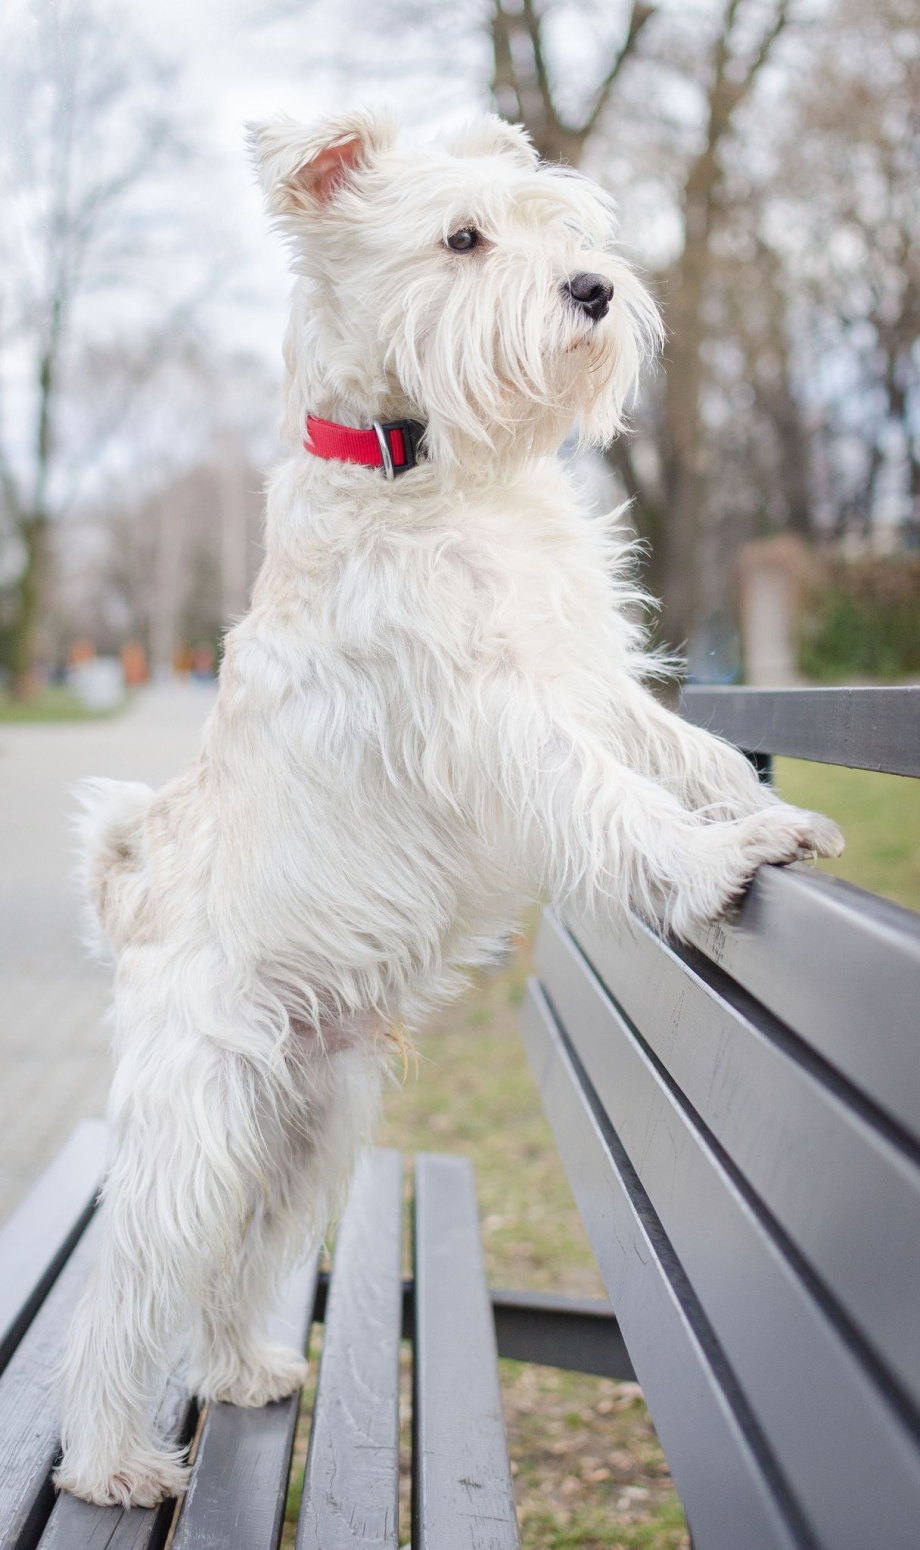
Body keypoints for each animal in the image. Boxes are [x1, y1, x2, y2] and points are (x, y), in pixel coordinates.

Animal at [51, 106, 836, 1500]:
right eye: (461, 239)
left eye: (551, 223)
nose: (592, 290)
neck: (422, 463)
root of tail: (128, 891)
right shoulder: (496, 712)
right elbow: (611, 797)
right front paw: (715, 863)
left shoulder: (585, 676)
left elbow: (675, 753)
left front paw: (744, 806)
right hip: (197, 1127)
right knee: (127, 1285)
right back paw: (110, 1462)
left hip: (308, 1126)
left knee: (235, 1267)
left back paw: (242, 1371)